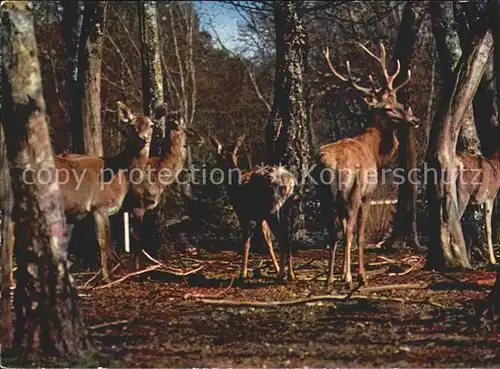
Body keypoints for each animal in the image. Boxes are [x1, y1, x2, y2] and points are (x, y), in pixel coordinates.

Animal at [210, 134, 296, 280]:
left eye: (218, 155)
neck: (234, 185)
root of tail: (288, 181)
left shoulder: (243, 213)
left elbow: (246, 241)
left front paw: (243, 273)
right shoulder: (260, 217)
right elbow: (267, 241)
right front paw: (275, 267)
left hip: (272, 208)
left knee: (282, 237)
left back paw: (282, 275)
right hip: (287, 208)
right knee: (288, 236)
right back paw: (290, 274)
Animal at [314, 41, 420, 286]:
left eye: (398, 101)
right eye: (388, 108)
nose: (414, 119)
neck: (375, 153)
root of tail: (332, 165)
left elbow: (342, 230)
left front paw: (339, 273)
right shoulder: (369, 194)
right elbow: (360, 234)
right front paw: (359, 274)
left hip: (324, 196)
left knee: (333, 232)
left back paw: (329, 278)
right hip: (352, 191)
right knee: (350, 230)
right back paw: (350, 277)